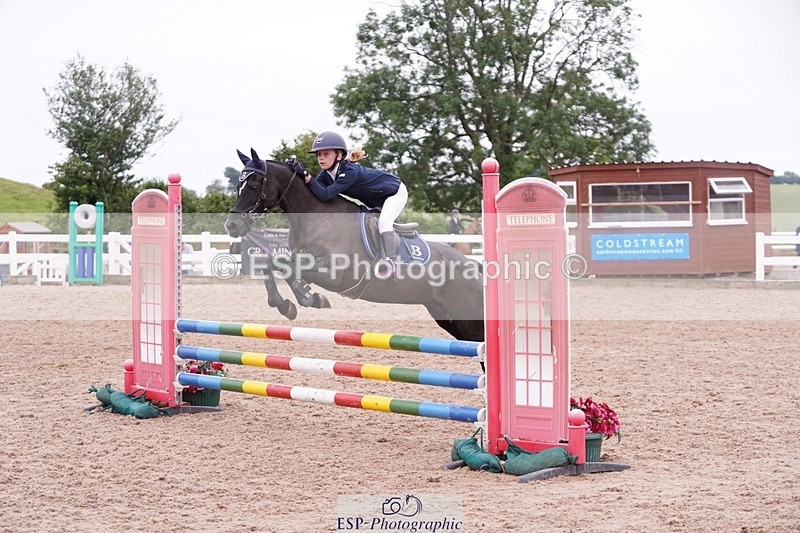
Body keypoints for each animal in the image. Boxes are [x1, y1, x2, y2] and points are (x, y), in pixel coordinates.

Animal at [224, 149, 485, 343]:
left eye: (254, 186)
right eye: (237, 186)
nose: (232, 226)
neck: (315, 217)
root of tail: (474, 267)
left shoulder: (335, 275)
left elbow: (286, 268)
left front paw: (310, 299)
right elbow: (273, 264)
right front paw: (287, 304)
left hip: (469, 318)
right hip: (447, 316)